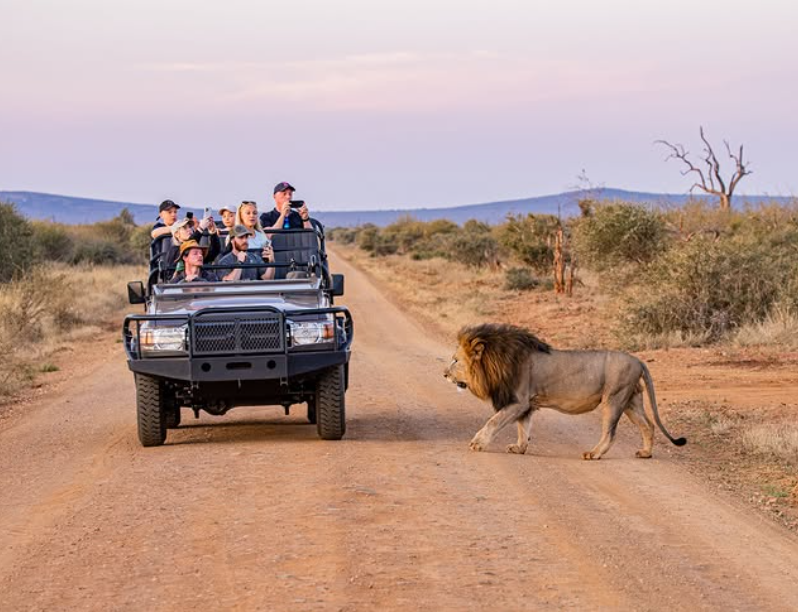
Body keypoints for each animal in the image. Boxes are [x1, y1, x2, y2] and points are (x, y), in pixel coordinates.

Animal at [444, 326, 688, 460]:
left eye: (455, 360)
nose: (444, 374)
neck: (496, 360)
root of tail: (638, 360)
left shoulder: (518, 401)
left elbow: (494, 421)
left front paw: (478, 443)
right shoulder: (527, 404)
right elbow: (523, 428)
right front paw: (519, 448)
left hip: (614, 399)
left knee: (610, 433)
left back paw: (594, 454)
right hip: (631, 401)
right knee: (649, 425)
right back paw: (646, 453)